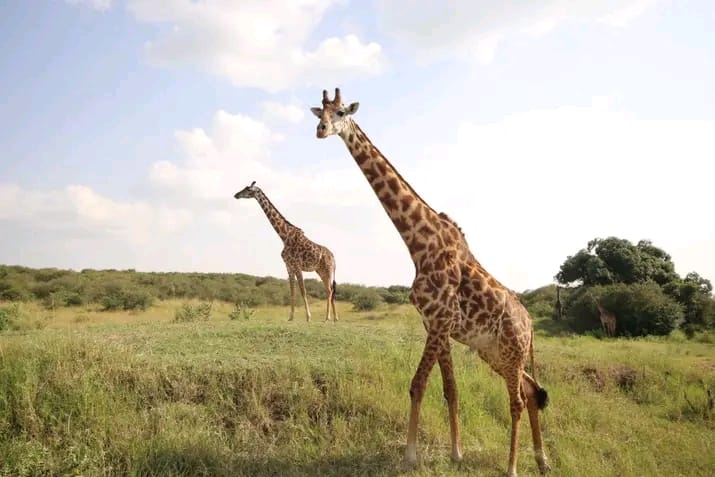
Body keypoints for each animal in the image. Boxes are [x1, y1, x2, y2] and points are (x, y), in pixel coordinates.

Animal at [234, 181, 338, 322]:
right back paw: (333, 318)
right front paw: (291, 317)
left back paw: (328, 317)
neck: (284, 236)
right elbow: (292, 291)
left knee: (330, 290)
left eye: (248, 189)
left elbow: (303, 291)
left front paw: (308, 317)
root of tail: (333, 257)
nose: (236, 195)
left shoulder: (297, 266)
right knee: (329, 290)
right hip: (320, 270)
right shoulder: (288, 266)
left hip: (328, 269)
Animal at [311, 88, 550, 477]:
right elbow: (450, 388)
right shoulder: (436, 325)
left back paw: (513, 467)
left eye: (342, 112)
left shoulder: (439, 322)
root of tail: (531, 325)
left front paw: (410, 456)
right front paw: (456, 453)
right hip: (494, 352)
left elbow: (418, 385)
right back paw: (542, 460)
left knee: (516, 399)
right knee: (531, 392)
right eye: (321, 112)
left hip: (512, 351)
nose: (321, 130)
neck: (419, 244)